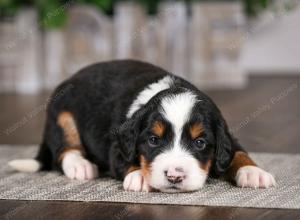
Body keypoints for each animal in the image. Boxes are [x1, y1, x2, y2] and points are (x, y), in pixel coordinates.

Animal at [8, 59, 276, 192]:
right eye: (153, 141)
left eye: (200, 143)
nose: (175, 176)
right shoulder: (116, 144)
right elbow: (125, 161)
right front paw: (139, 176)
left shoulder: (227, 136)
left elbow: (238, 153)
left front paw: (253, 172)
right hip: (62, 115)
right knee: (64, 150)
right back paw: (81, 166)